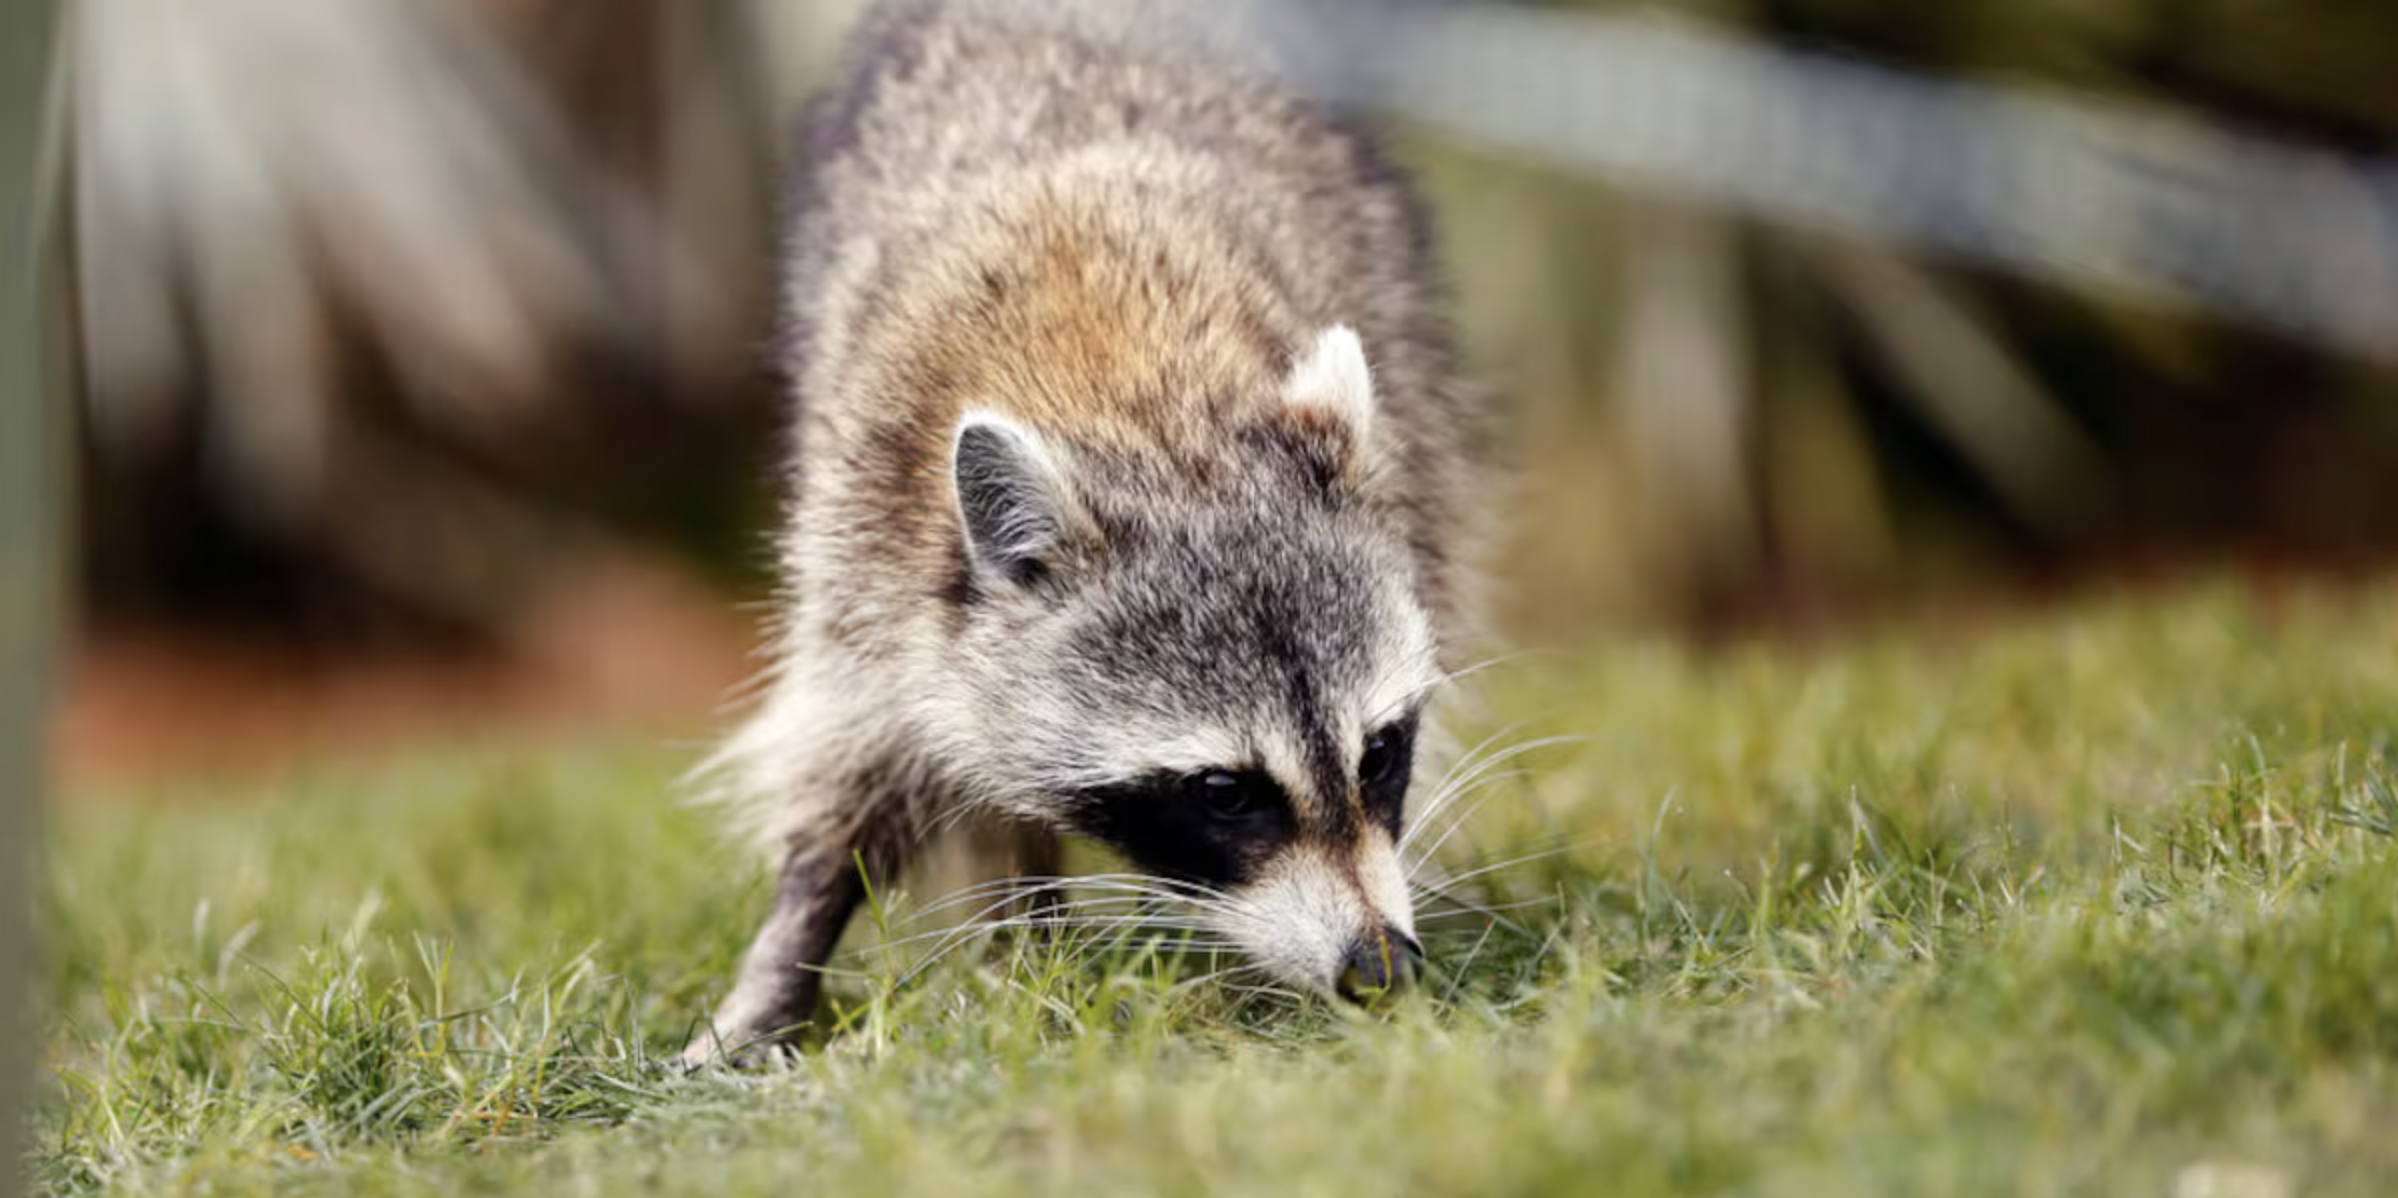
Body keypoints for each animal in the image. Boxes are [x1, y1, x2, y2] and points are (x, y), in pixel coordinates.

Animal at [682, 0, 1486, 1065]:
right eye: (1224, 791)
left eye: (1379, 753)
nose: (1380, 968)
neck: (1131, 396)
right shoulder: (864, 537)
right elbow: (857, 755)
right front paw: (792, 941)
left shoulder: (1413, 474)